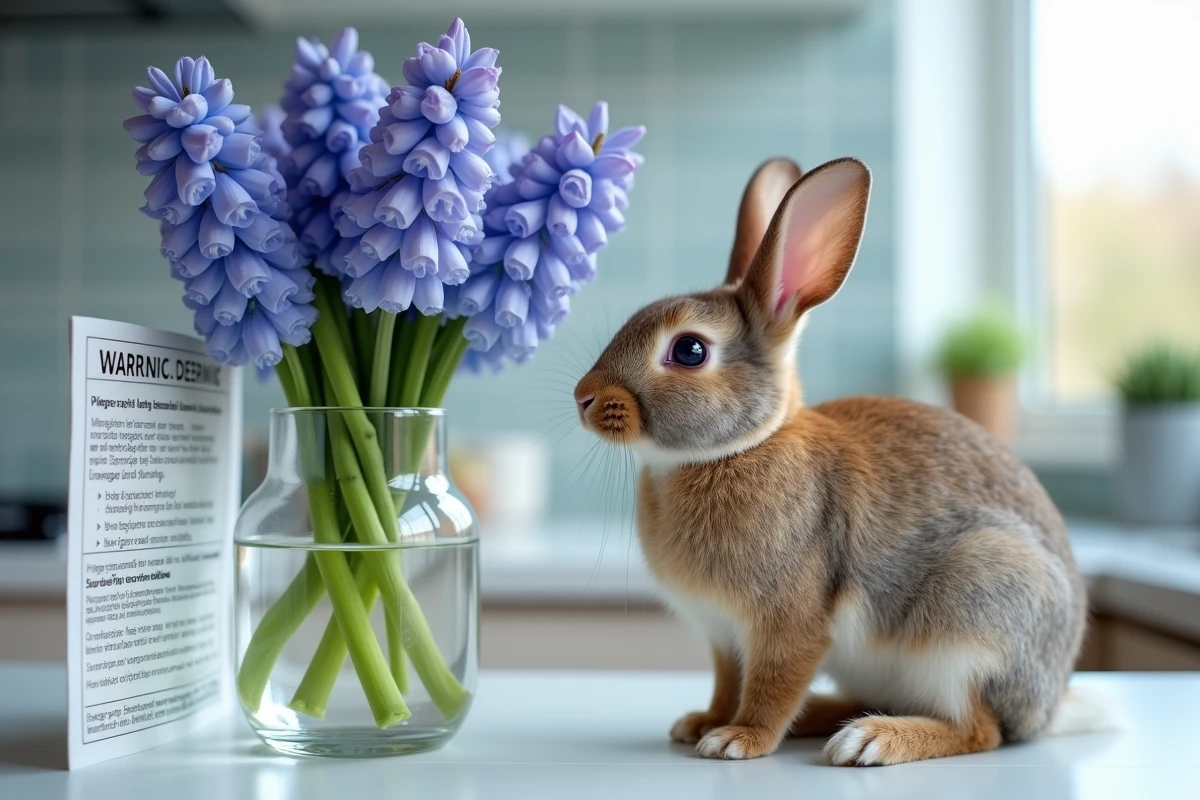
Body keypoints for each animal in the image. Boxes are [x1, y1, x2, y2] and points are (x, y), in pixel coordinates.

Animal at [573, 157, 1107, 766]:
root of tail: (1047, 709)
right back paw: (828, 719)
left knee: (980, 729)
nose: (583, 398)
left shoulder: (790, 624)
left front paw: (738, 739)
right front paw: (702, 723)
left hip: (976, 615)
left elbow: (772, 686)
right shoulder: (723, 637)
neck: (739, 447)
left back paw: (870, 739)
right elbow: (728, 682)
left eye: (689, 350)